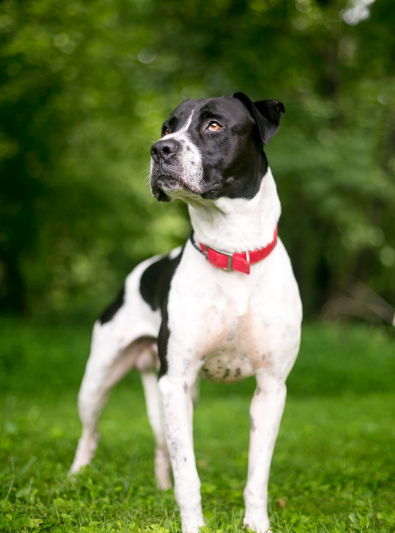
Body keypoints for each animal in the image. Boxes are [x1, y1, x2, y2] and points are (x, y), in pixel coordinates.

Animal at [70, 93, 304, 528]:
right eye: (168, 127)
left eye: (214, 125)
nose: (159, 149)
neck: (232, 251)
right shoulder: (174, 381)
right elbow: (189, 474)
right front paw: (194, 525)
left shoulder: (271, 388)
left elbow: (257, 474)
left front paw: (256, 524)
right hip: (98, 381)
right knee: (90, 434)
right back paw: (75, 478)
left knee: (162, 444)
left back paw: (160, 487)